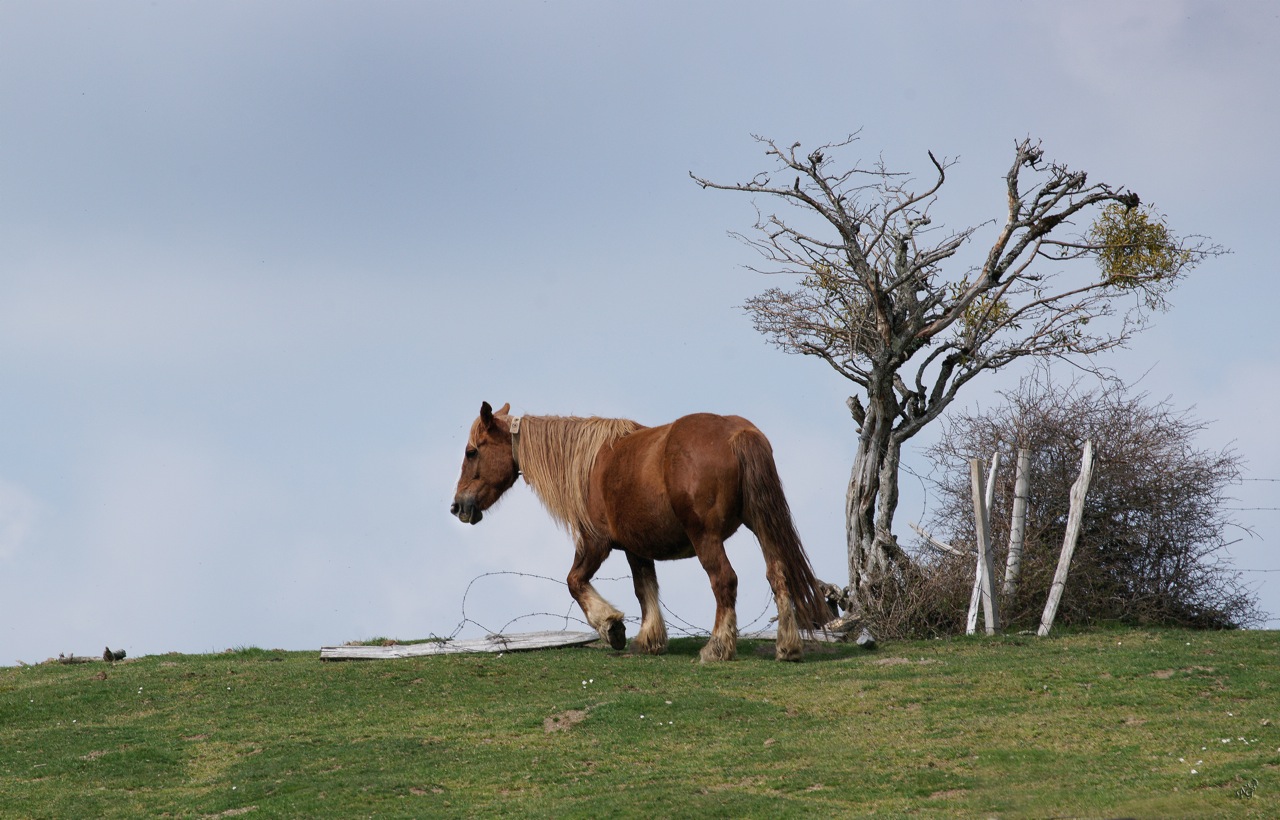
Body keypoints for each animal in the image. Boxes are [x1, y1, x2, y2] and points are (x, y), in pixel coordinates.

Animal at [450, 399, 829, 660]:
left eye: (471, 452)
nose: (458, 507)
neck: (591, 464)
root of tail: (738, 433)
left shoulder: (595, 543)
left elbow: (574, 581)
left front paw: (611, 626)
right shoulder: (636, 547)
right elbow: (644, 587)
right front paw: (649, 638)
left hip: (706, 537)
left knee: (724, 580)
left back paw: (717, 647)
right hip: (762, 527)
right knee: (778, 575)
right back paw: (787, 646)